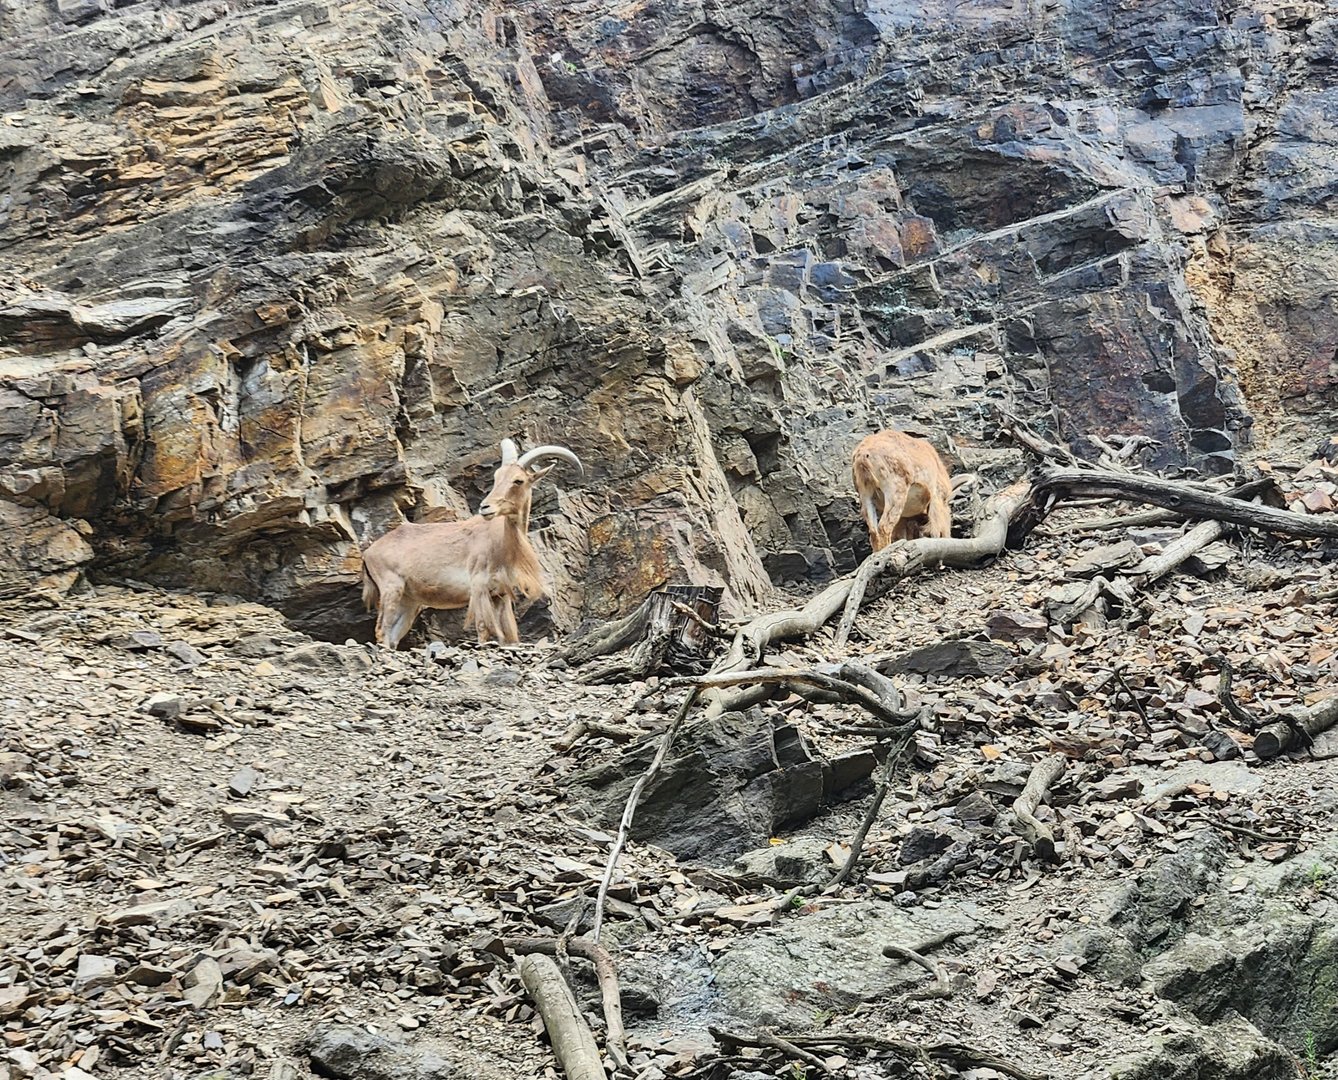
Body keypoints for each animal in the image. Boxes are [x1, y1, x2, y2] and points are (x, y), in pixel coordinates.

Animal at [360, 438, 582, 648]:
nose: (485, 507)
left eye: (518, 480)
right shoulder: (479, 587)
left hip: (409, 601)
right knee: (381, 630)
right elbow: (483, 630)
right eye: (496, 477)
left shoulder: (500, 595)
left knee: (392, 636)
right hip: (391, 588)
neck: (501, 543)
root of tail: (368, 553)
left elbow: (506, 635)